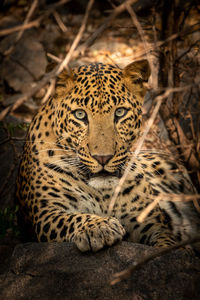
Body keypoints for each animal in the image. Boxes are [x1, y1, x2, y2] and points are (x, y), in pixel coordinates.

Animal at [15, 59, 198, 252]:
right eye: (80, 114)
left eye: (120, 112)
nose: (103, 158)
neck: (102, 194)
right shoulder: (46, 213)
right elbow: (70, 218)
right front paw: (99, 227)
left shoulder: (152, 223)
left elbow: (167, 243)